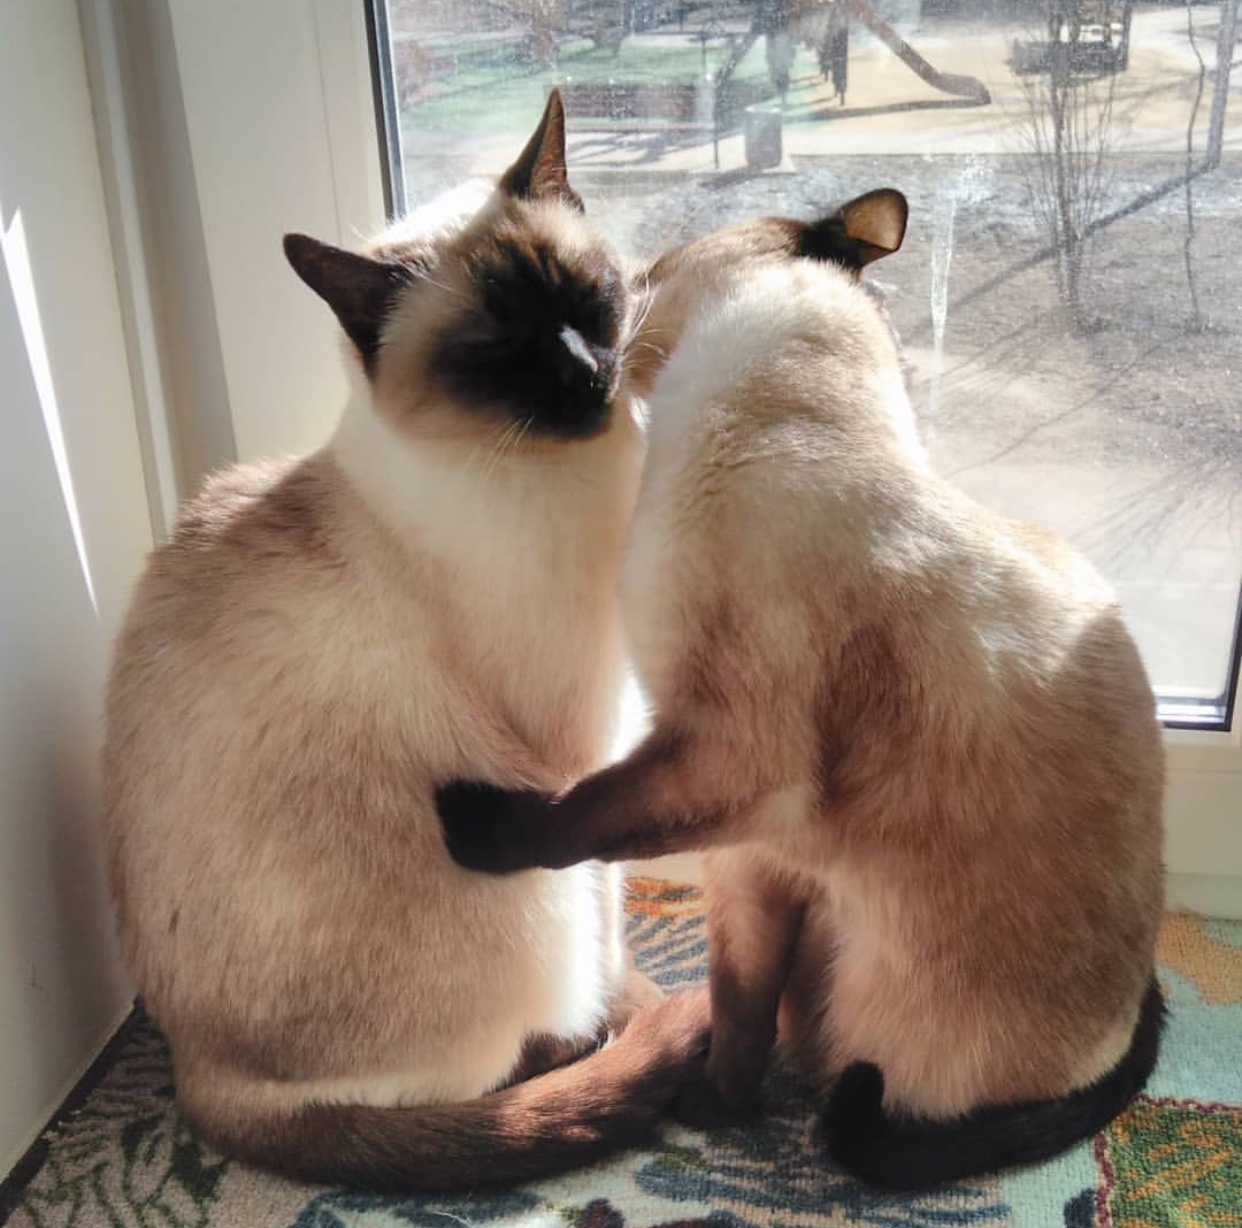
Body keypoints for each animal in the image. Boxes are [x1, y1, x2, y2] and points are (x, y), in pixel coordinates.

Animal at [101, 93, 715, 1187]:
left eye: (584, 300)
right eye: (495, 350)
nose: (585, 373)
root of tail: (193, 1074)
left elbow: (615, 912)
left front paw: (637, 1000)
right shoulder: (580, 751)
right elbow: (607, 906)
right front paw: (633, 1012)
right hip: (517, 897)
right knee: (478, 1076)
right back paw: (590, 1043)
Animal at [442, 191, 1167, 1187]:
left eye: (644, 274)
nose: (606, 334)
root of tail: (1122, 1022)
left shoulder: (726, 761)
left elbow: (572, 816)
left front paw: (470, 825)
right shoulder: (752, 853)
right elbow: (740, 1003)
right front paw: (717, 1102)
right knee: (792, 1014)